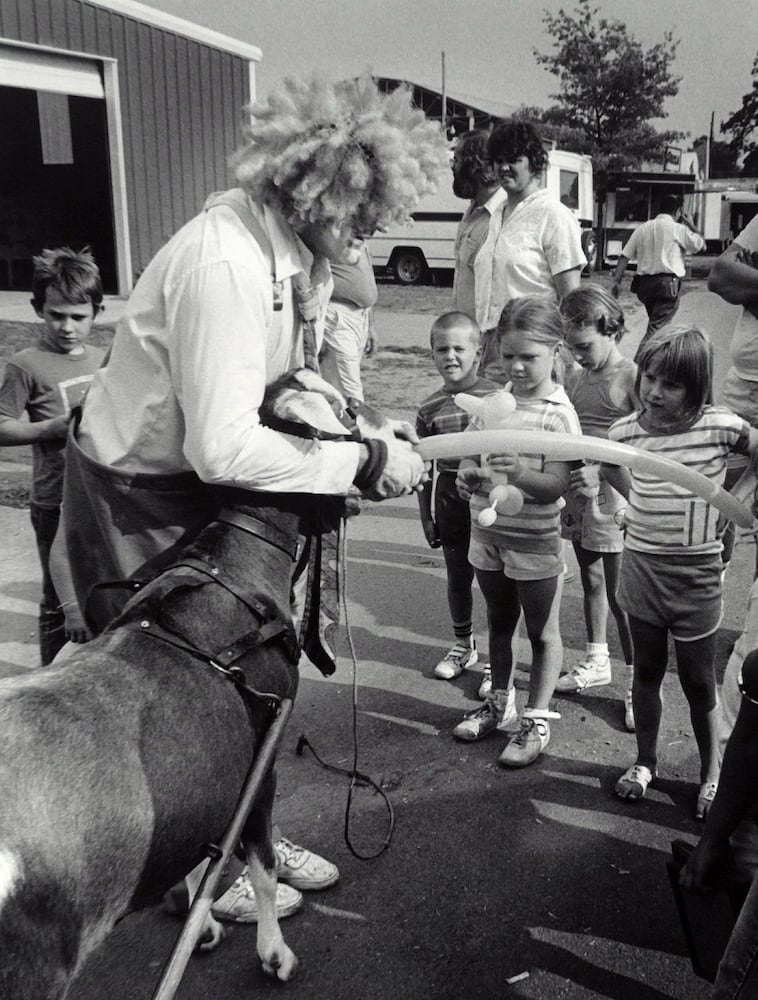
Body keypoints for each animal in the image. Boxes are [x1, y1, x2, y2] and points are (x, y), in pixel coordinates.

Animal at [0, 374, 380, 1000]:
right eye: (345, 410)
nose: (388, 429)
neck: (235, 569)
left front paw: (199, 923)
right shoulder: (261, 762)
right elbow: (261, 865)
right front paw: (274, 954)